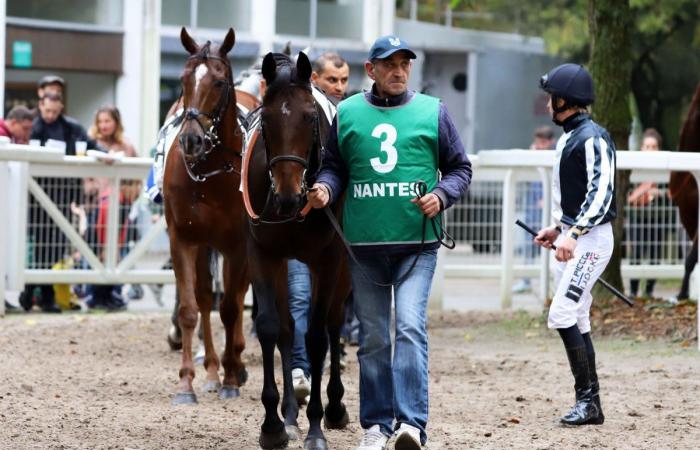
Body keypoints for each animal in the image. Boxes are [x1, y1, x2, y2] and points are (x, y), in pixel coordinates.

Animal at [242, 51, 350, 446]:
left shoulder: (328, 259)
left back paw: (334, 407)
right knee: (288, 329)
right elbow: (271, 327)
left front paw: (316, 426)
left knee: (333, 325)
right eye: (267, 119)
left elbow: (317, 336)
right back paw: (289, 414)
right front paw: (273, 424)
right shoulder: (262, 254)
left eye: (309, 117)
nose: (288, 195)